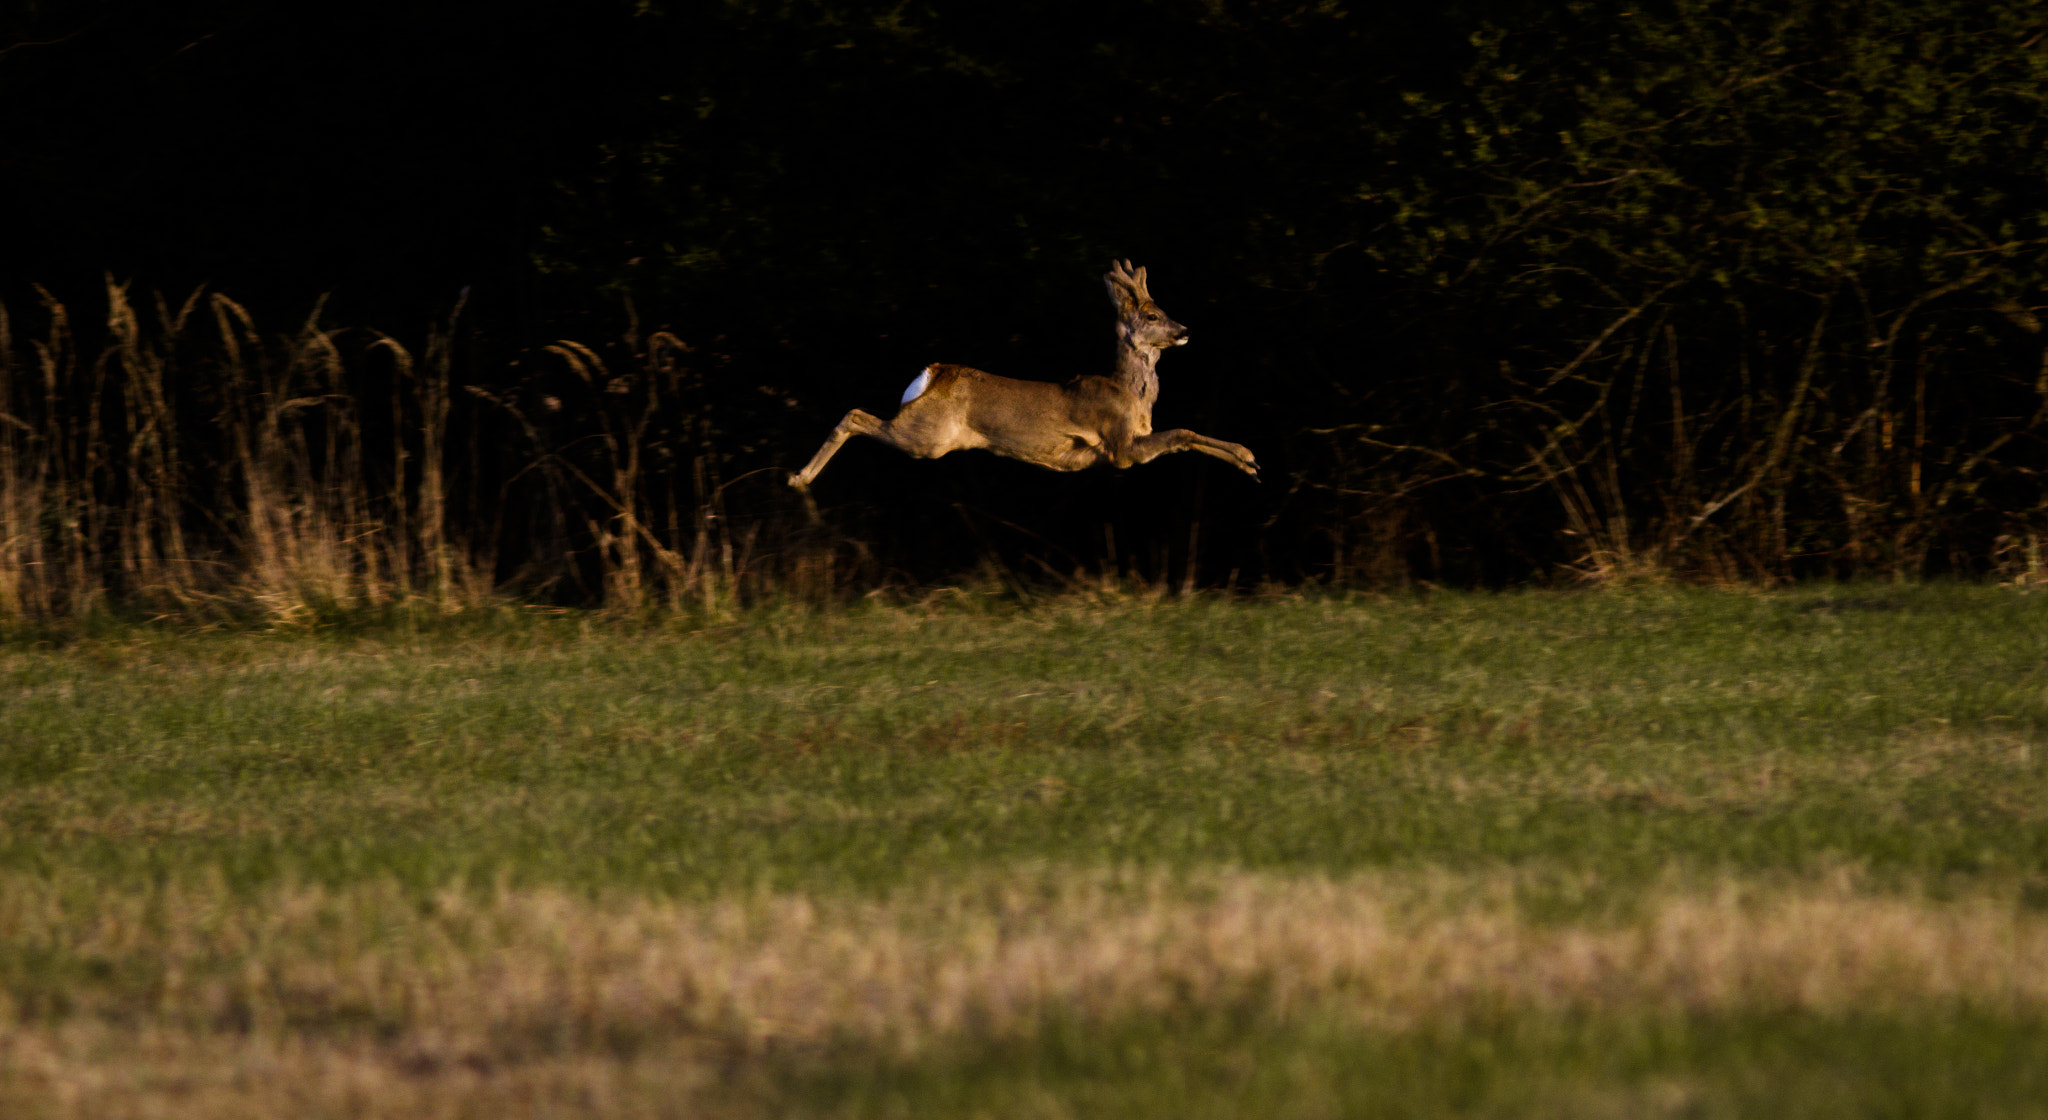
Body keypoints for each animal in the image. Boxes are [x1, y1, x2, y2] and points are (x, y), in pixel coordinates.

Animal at [786, 266, 1253, 493]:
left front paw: (1248, 462)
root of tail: (932, 374)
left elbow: (1184, 436)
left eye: (1165, 310)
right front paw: (1248, 456)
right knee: (854, 414)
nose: (1185, 330)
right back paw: (798, 480)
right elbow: (1183, 433)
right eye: (1153, 316)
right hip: (926, 437)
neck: (1130, 395)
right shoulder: (1121, 448)